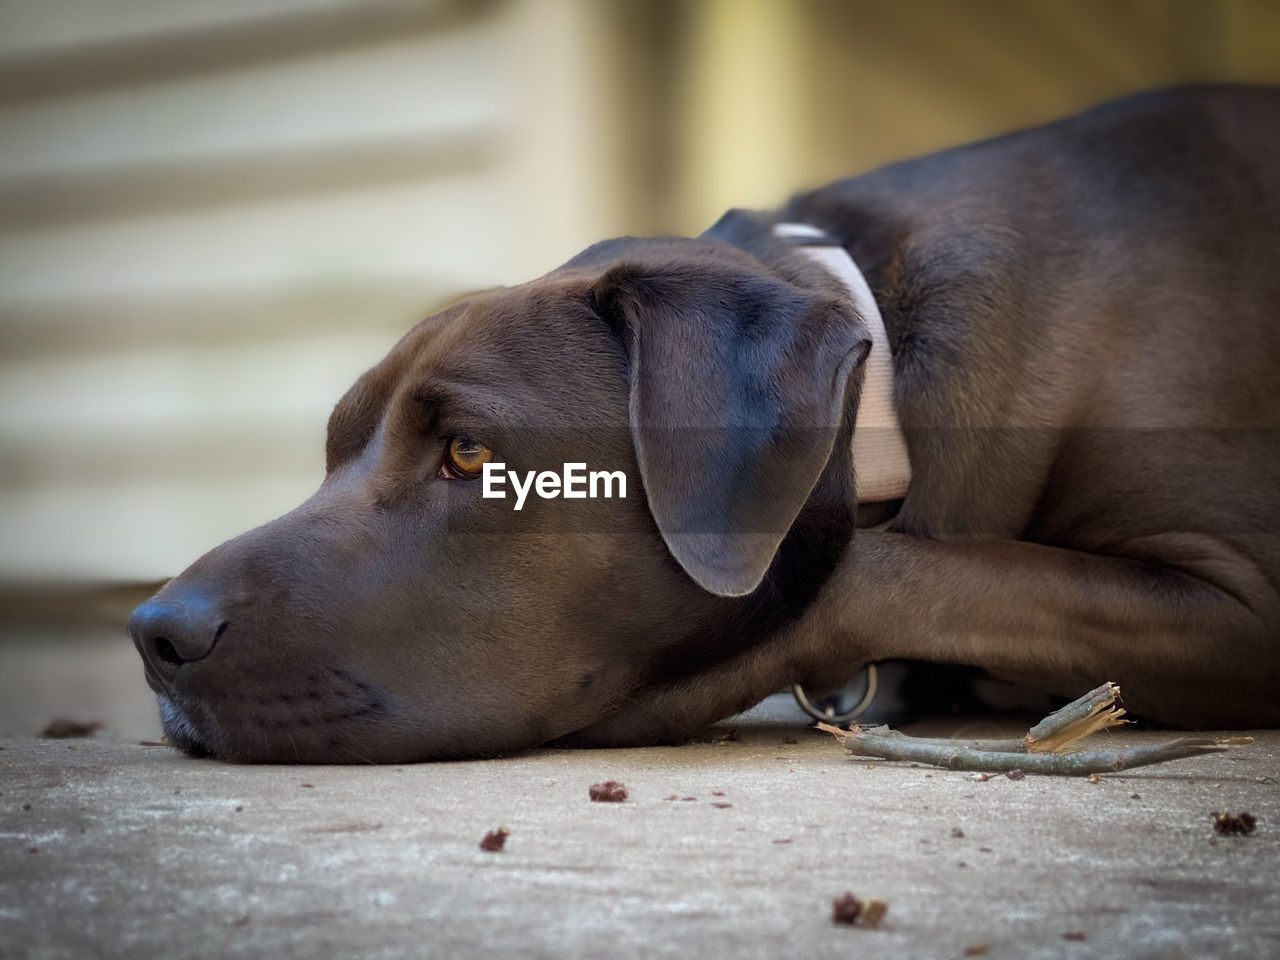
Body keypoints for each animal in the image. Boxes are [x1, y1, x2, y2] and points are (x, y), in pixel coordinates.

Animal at [129, 90, 1280, 768]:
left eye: (468, 452)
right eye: (333, 449)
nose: (155, 634)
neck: (881, 380)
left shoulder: (1246, 599)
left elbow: (890, 569)